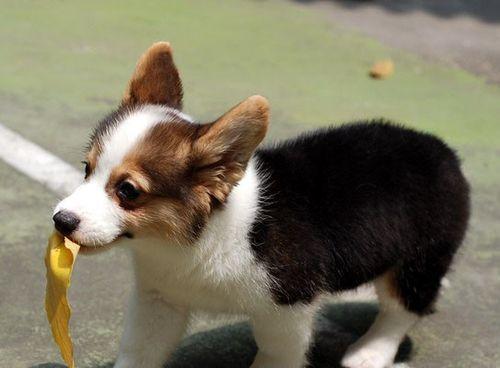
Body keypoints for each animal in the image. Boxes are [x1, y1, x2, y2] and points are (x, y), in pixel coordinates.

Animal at [53, 43, 468, 368]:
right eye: (87, 168)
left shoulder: (286, 310)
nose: (61, 220)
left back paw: (369, 353)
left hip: (417, 259)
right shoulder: (159, 302)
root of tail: (442, 151)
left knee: (402, 309)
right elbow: (139, 350)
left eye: (128, 190)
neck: (191, 239)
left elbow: (275, 355)